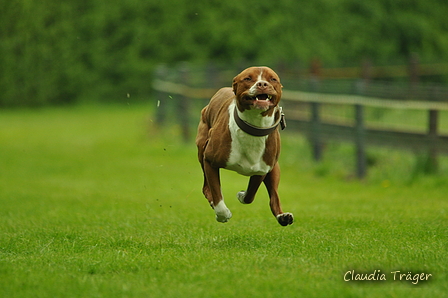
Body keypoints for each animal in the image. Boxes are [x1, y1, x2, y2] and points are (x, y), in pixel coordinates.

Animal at [196, 66, 294, 226]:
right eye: (248, 78)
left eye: (273, 79)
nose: (262, 84)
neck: (254, 126)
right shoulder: (209, 161)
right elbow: (217, 193)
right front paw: (222, 214)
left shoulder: (262, 170)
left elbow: (250, 195)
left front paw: (241, 195)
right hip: (201, 148)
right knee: (206, 187)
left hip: (275, 168)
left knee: (274, 196)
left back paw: (282, 216)